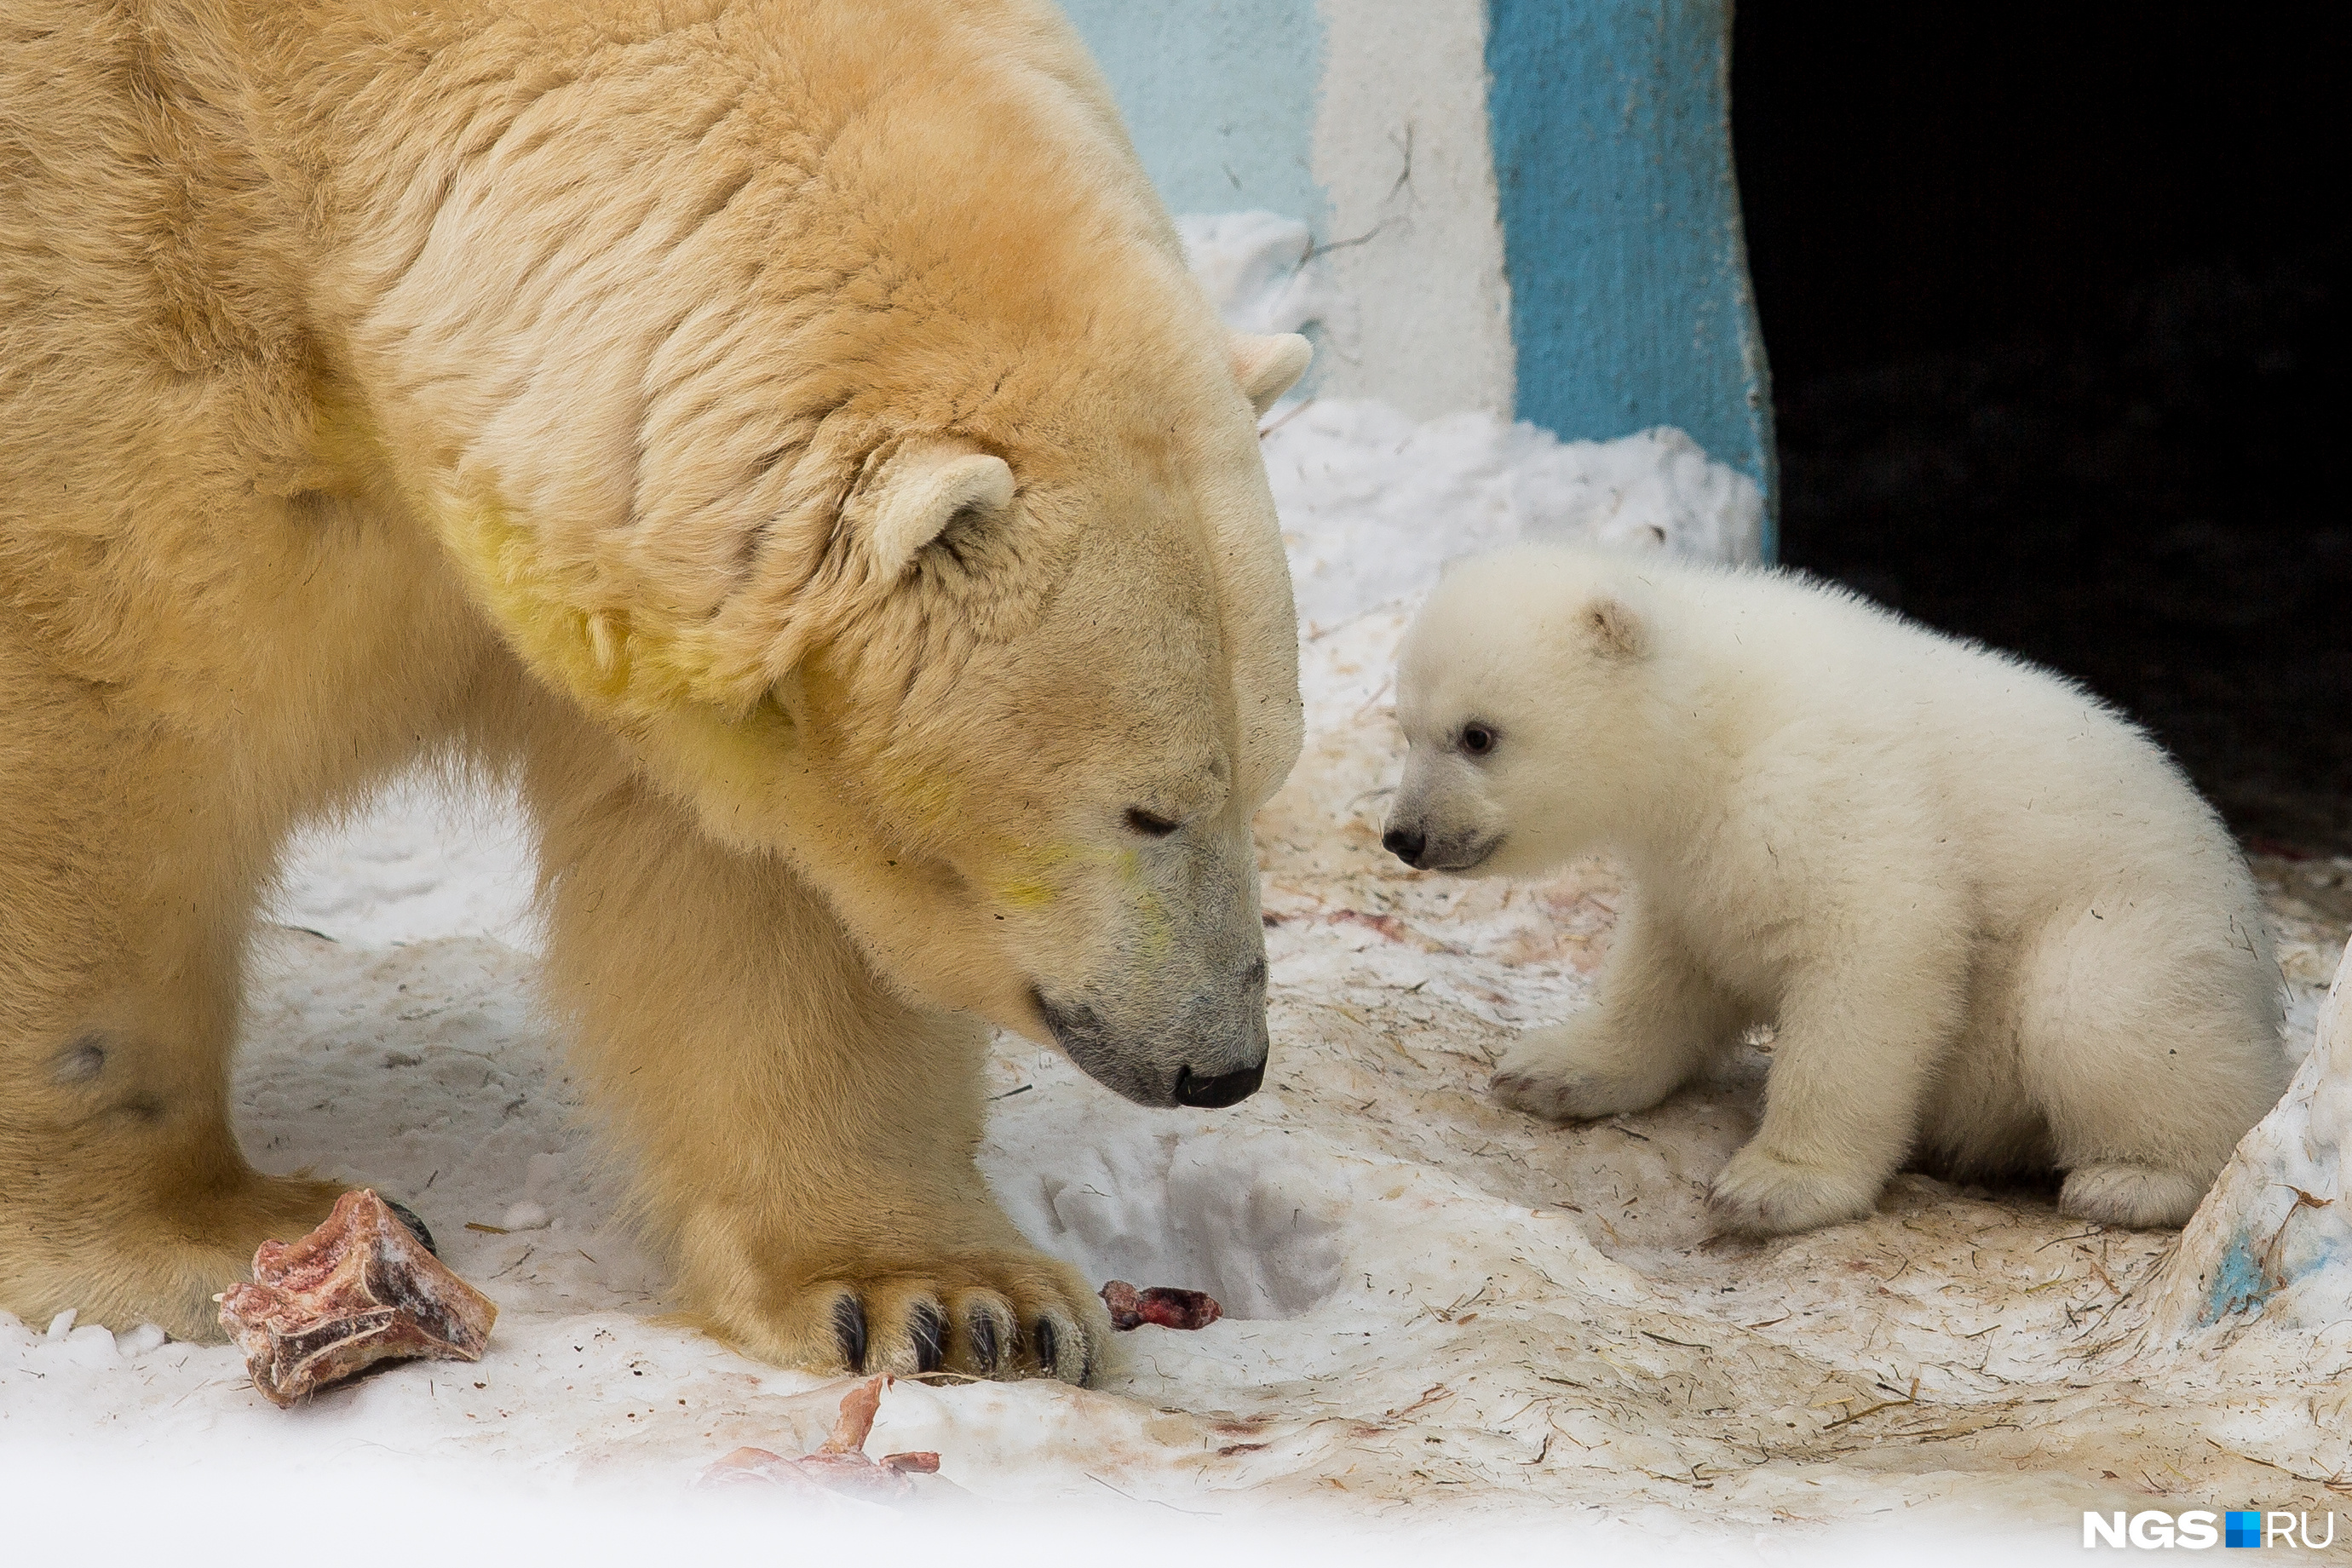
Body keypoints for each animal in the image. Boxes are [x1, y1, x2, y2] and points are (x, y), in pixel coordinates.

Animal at [0, 0, 1308, 1381]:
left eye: (1261, 778)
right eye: (1147, 810)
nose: (1221, 1064)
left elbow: (758, 885)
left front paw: (950, 1297)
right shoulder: (117, 355)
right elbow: (98, 753)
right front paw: (194, 1234)